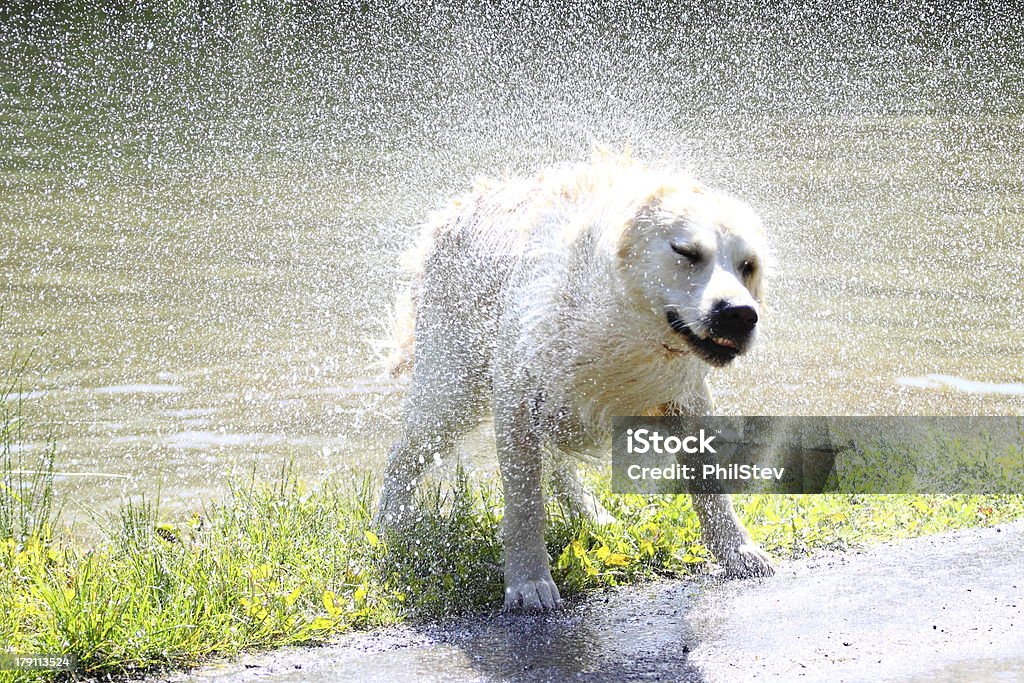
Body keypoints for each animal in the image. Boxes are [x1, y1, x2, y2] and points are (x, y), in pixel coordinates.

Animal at [380, 152, 770, 610]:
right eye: (686, 251)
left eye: (748, 266)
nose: (739, 314)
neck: (621, 325)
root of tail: (451, 211)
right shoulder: (518, 386)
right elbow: (525, 499)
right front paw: (529, 582)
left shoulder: (684, 393)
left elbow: (706, 476)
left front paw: (737, 550)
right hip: (453, 387)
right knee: (406, 450)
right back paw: (389, 524)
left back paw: (592, 513)